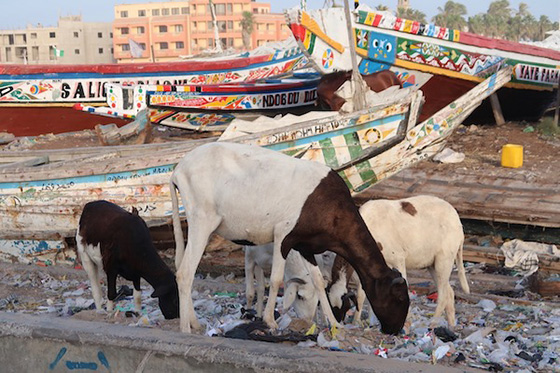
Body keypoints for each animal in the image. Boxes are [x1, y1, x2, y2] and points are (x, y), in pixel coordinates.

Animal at [168, 142, 410, 334]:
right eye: (399, 298)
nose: (395, 330)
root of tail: (178, 169)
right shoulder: (283, 234)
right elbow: (276, 279)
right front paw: (269, 321)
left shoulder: (306, 246)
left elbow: (319, 282)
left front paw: (334, 323)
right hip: (202, 219)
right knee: (185, 273)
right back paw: (185, 328)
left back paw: (194, 322)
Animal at [328, 195, 468, 326]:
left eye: (344, 306)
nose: (337, 321)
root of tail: (458, 222)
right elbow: (363, 294)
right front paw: (358, 321)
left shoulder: (397, 258)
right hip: (432, 263)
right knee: (449, 291)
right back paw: (451, 325)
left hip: (445, 257)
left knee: (443, 294)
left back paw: (433, 323)